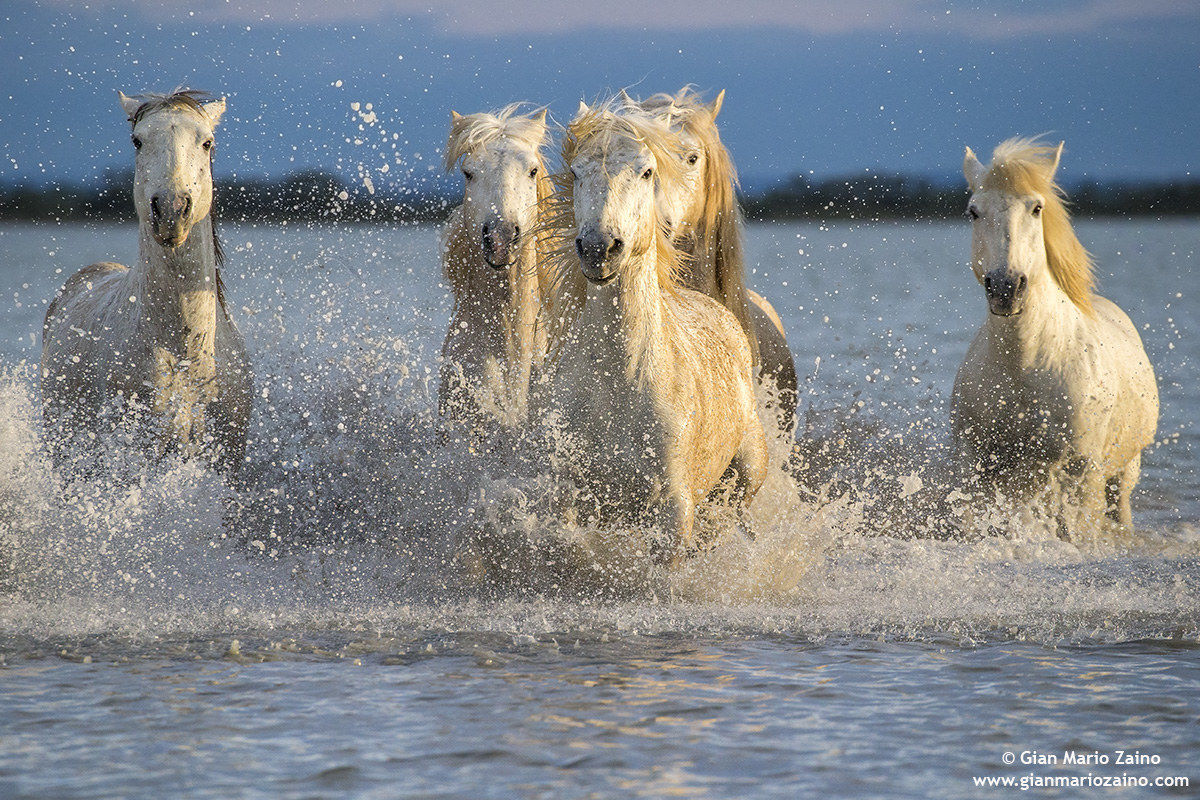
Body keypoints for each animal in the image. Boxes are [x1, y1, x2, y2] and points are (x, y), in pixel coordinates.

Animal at [546, 100, 768, 564]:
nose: (599, 248)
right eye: (575, 172)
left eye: (647, 171)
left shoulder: (672, 509)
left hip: (744, 477)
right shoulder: (568, 498)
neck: (617, 381)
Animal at [952, 137, 1158, 538]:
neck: (1025, 367)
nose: (1006, 288)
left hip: (1123, 472)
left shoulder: (1082, 470)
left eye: (1037, 208)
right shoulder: (979, 466)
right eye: (973, 212)